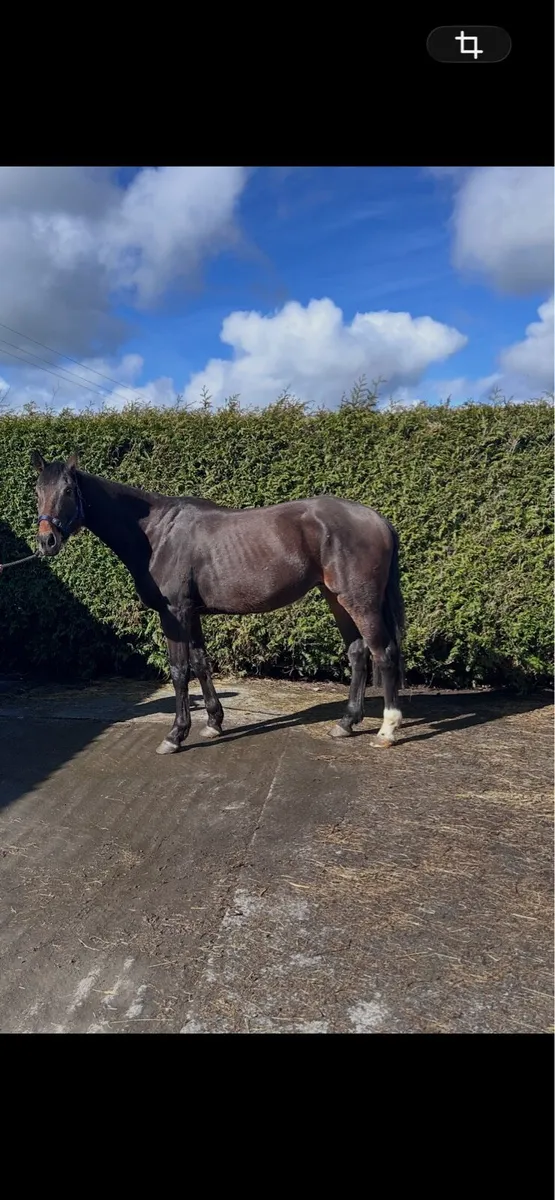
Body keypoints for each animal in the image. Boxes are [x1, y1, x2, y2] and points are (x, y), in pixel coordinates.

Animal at [31, 451, 405, 755]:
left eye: (68, 491)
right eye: (37, 491)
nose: (47, 541)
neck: (156, 534)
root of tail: (378, 519)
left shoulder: (174, 614)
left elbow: (179, 670)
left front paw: (175, 735)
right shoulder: (191, 614)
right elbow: (201, 664)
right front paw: (213, 723)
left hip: (360, 601)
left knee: (383, 652)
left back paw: (387, 730)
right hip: (336, 599)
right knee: (358, 652)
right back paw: (346, 723)